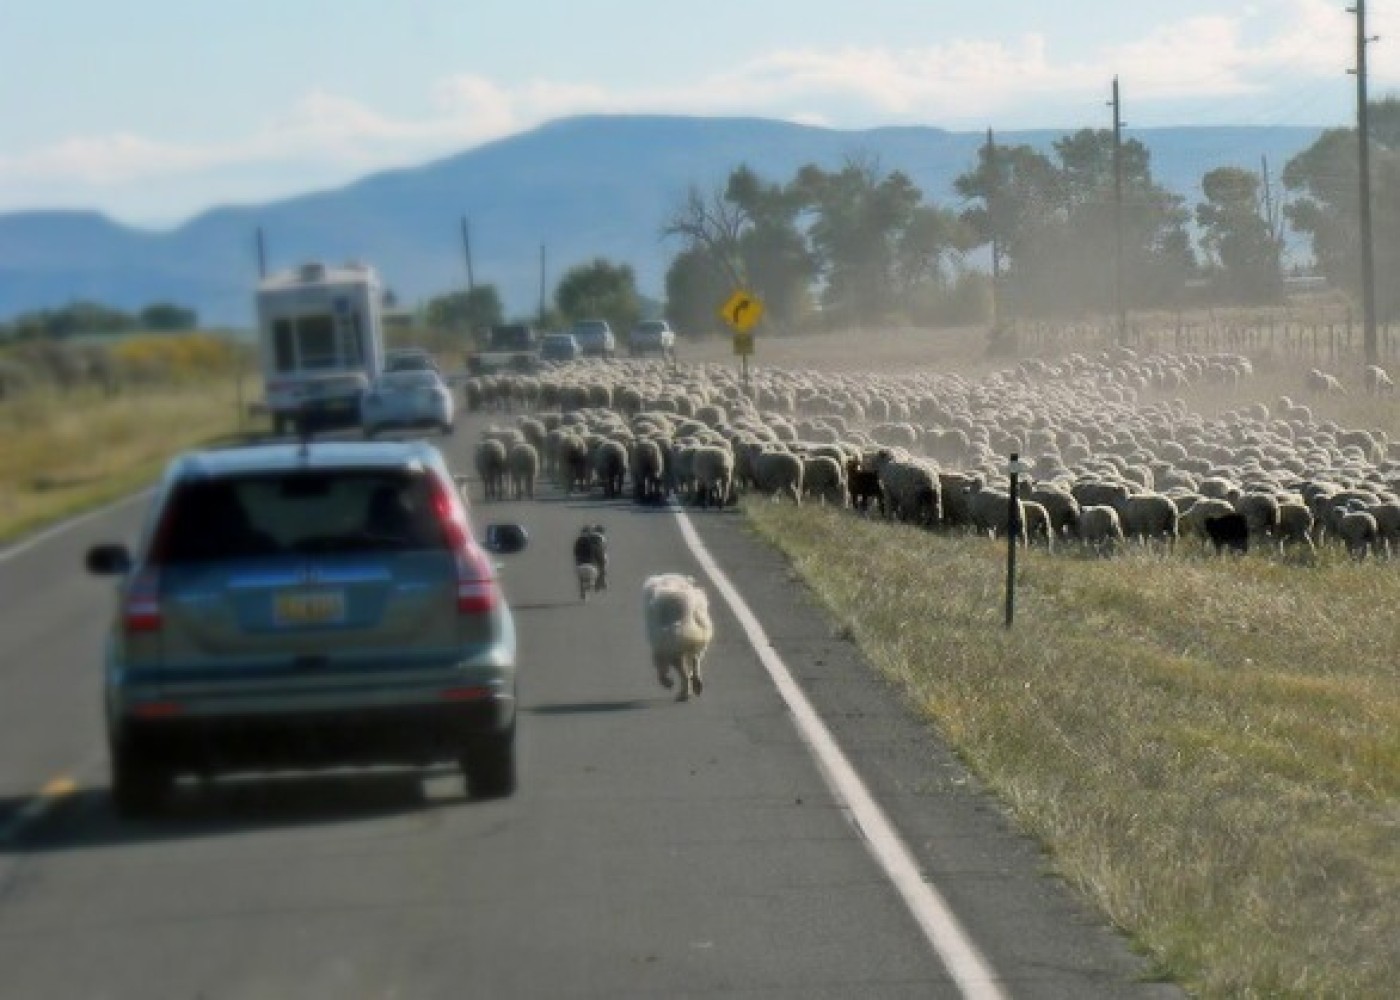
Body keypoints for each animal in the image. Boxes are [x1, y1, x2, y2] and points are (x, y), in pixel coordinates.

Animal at [641, 571, 716, 705]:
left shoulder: (660, 643)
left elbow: (659, 662)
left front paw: (667, 681)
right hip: (700, 631)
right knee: (695, 659)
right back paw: (696, 685)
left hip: (673, 641)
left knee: (682, 670)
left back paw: (683, 693)